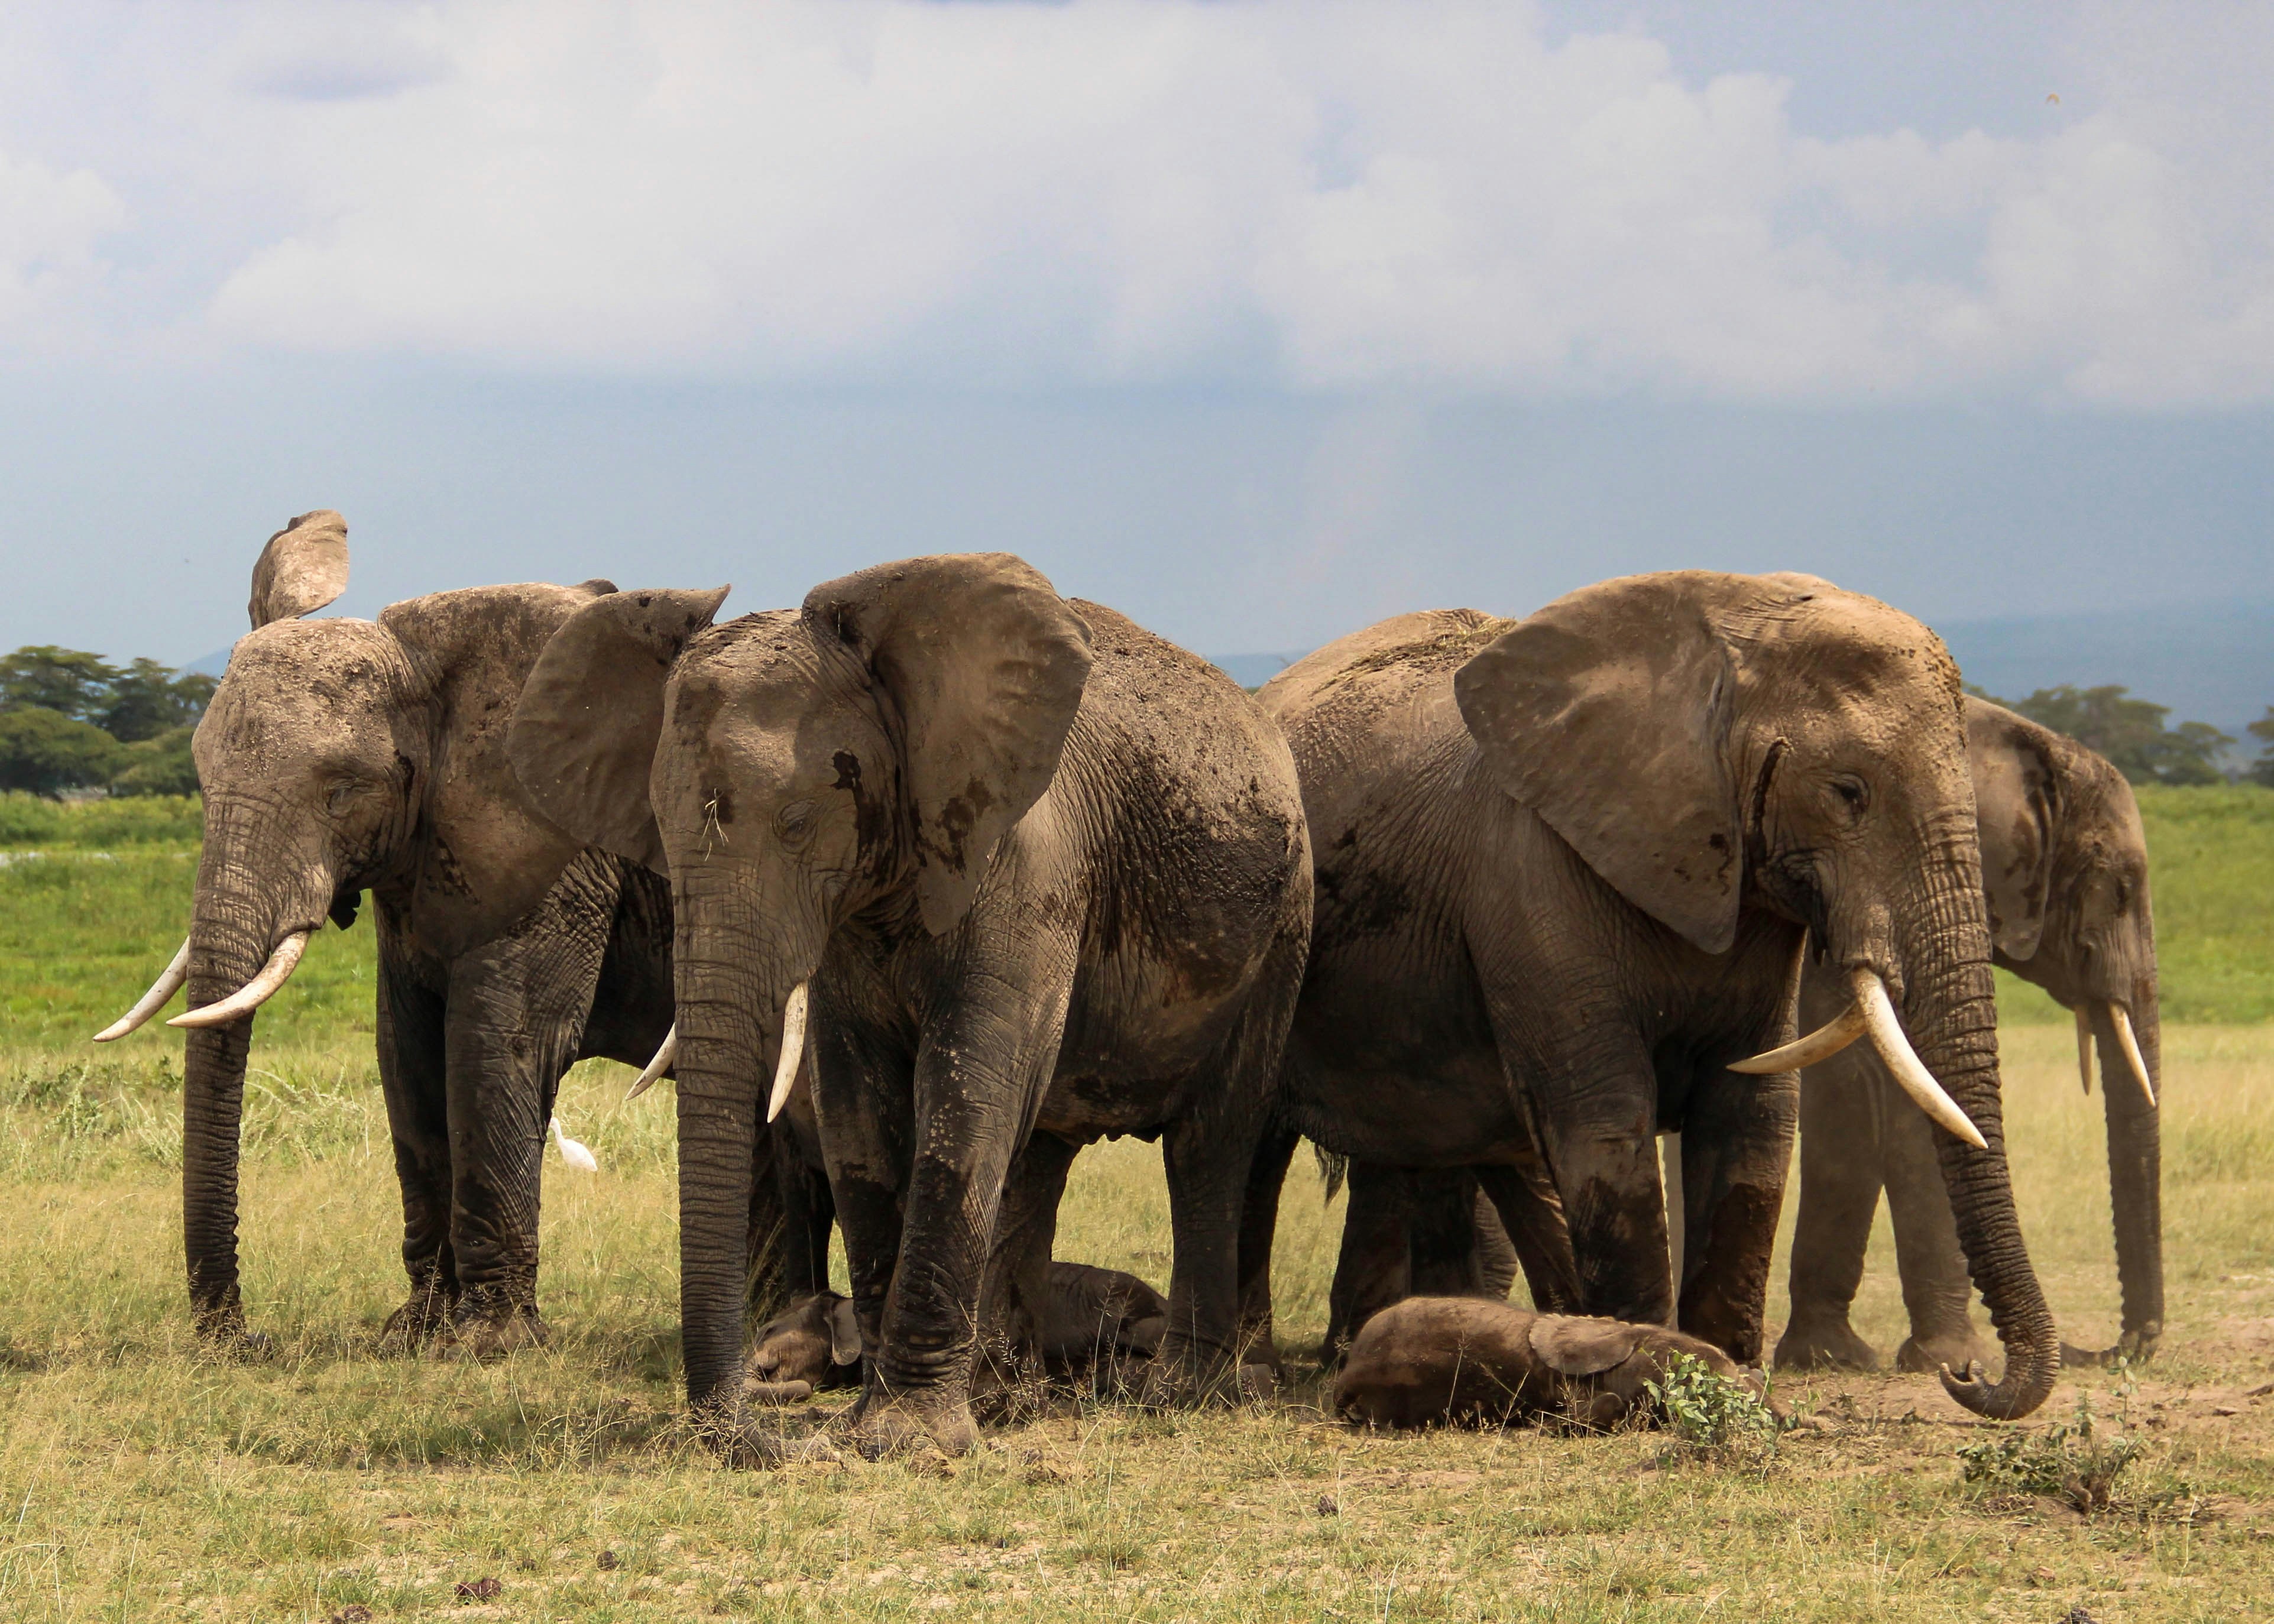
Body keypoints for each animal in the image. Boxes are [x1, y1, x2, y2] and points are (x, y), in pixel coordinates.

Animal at [93, 511, 830, 1353]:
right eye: (201, 779)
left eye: (341, 791)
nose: (247, 1338)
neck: (428, 668)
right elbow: (406, 1051)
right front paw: (413, 1332)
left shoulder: (560, 846)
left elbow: (497, 1041)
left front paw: (487, 1344)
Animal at [507, 553, 1312, 1460]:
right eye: (660, 827)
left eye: (796, 821)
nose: (777, 1430)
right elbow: (858, 1110)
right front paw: (879, 1426)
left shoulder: (1026, 863)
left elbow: (966, 1096)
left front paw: (908, 1440)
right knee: (1041, 1150)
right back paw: (1008, 1398)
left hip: (1284, 921)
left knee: (1209, 1144)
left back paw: (1175, 1393)